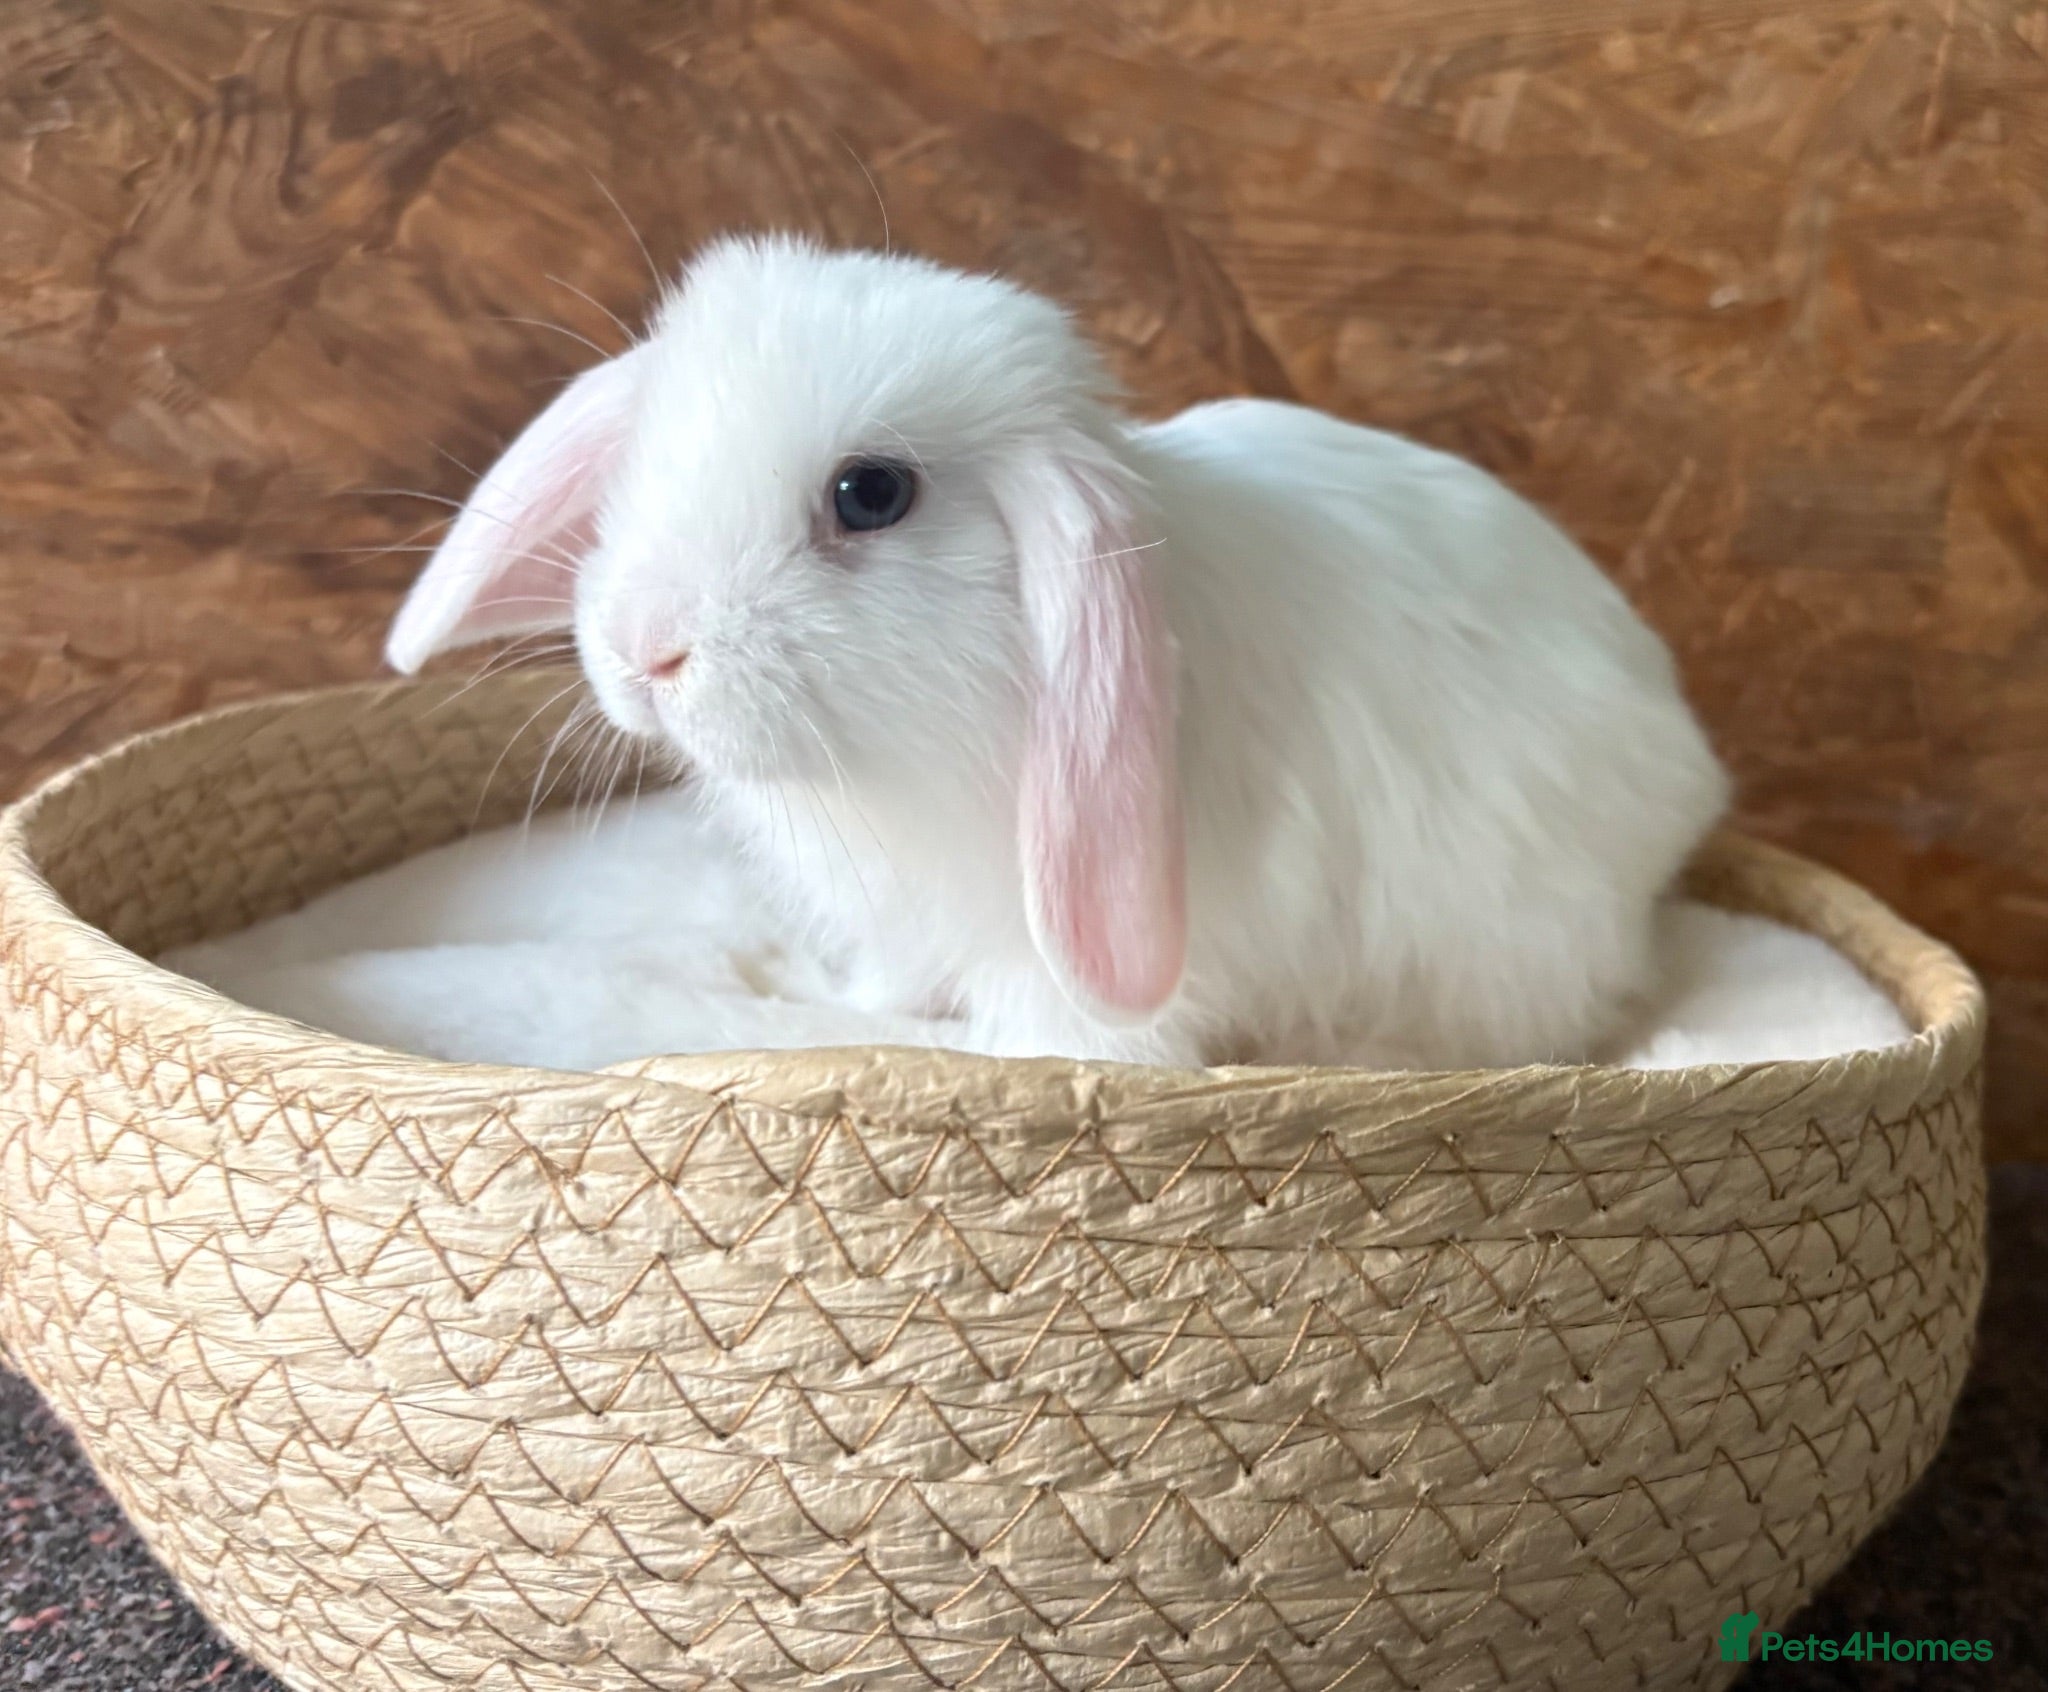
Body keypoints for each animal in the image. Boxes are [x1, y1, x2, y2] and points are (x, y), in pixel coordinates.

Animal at [385, 234, 1729, 1070]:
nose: (644, 650)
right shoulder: (903, 918)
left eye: (870, 494)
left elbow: (1072, 1049)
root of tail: (1685, 771)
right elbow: (883, 987)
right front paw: (826, 996)